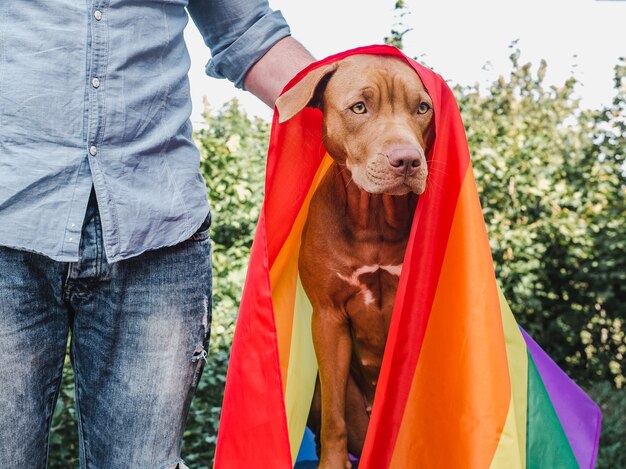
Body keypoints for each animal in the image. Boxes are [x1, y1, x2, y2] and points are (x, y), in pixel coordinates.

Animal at [276, 55, 432, 468]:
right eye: (359, 107)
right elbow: (334, 420)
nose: (407, 161)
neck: (373, 220)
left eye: (422, 108)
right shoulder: (328, 318)